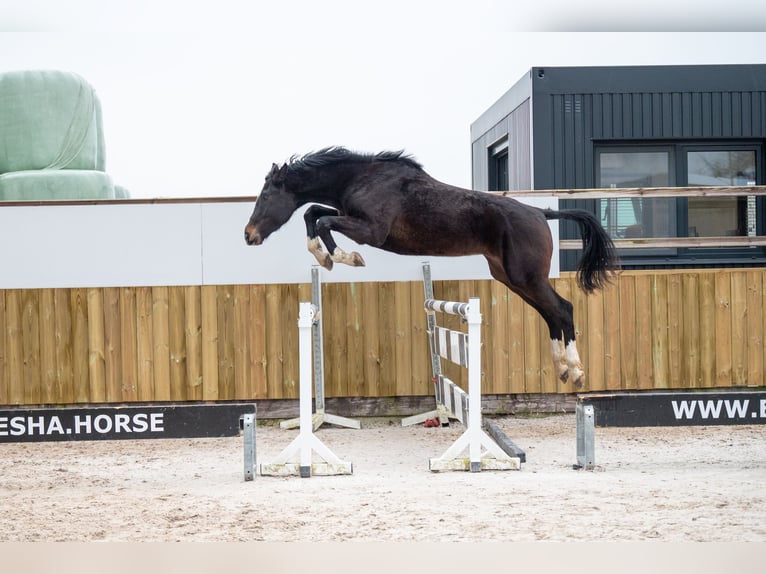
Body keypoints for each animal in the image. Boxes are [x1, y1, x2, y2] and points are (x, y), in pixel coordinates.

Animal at [246, 147, 616, 388]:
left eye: (265, 196)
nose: (248, 235)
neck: (361, 179)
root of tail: (541, 212)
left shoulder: (370, 231)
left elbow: (322, 220)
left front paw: (343, 258)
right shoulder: (349, 217)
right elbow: (314, 214)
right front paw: (325, 257)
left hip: (526, 277)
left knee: (563, 309)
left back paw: (577, 371)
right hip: (513, 278)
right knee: (551, 314)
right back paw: (563, 370)